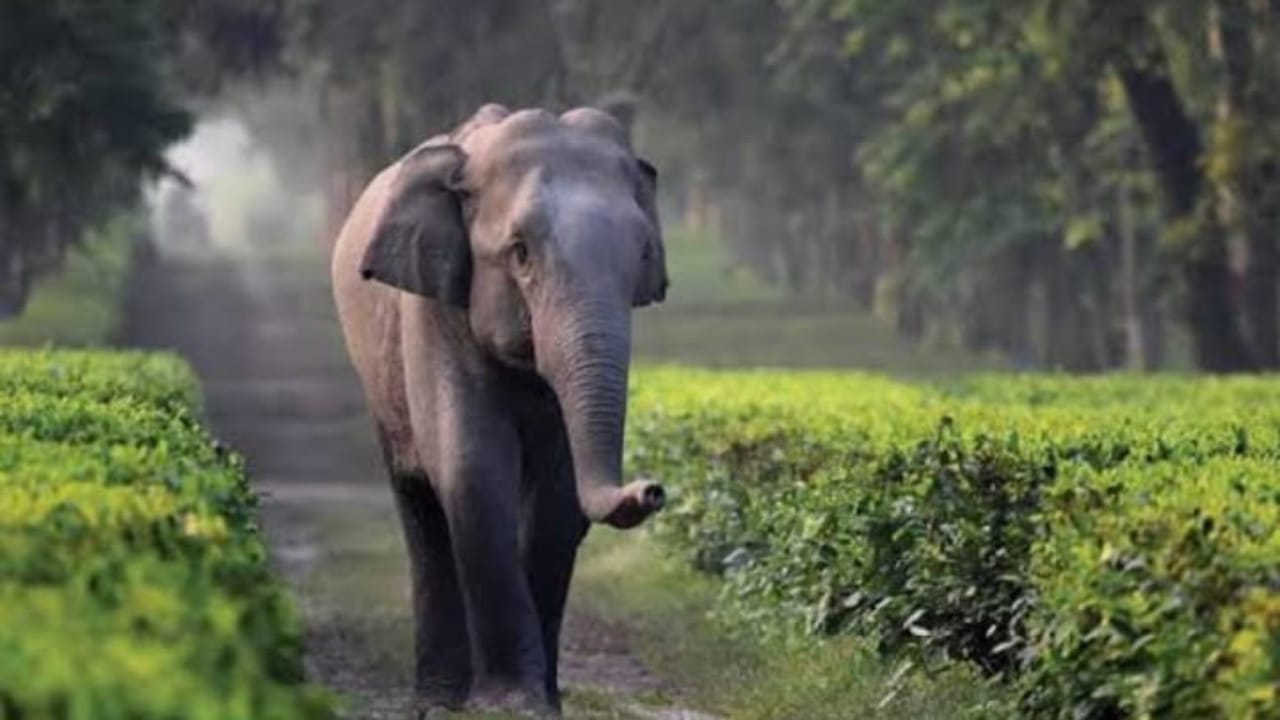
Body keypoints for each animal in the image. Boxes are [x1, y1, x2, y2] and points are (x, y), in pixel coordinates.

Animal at [330, 103, 669, 716]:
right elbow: (473, 468)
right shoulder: (433, 310)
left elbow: (558, 494)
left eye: (642, 255)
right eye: (521, 253)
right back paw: (439, 701)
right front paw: (511, 703)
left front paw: (543, 703)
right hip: (379, 387)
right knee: (421, 507)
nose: (651, 489)